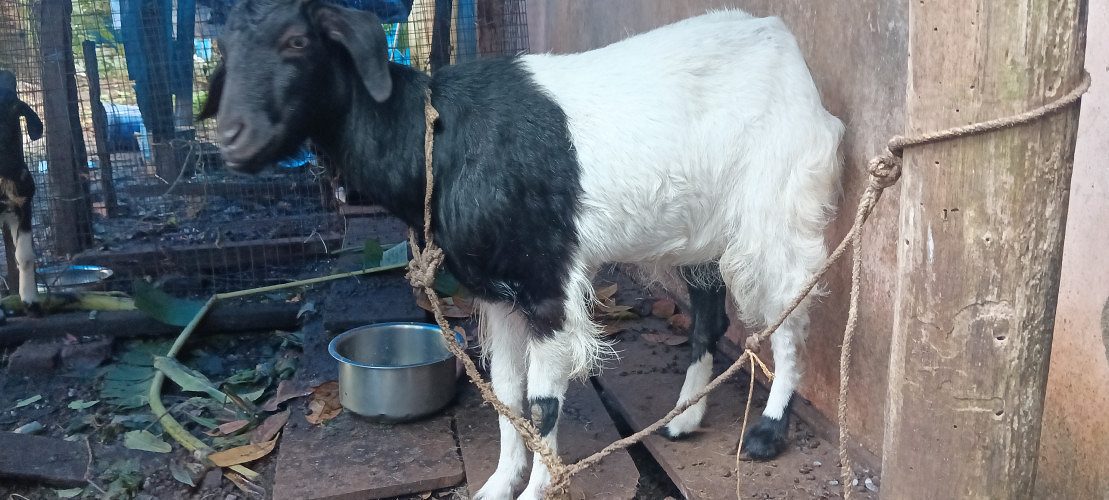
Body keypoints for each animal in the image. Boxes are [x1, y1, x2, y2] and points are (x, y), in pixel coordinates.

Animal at [199, 1, 844, 498]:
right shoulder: (497, 292)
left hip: (780, 209)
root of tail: (780, 39)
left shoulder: (546, 284)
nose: (232, 138)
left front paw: (538, 488)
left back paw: (767, 431)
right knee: (709, 317)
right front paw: (497, 485)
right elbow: (505, 396)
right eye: (224, 47)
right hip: (701, 229)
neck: (439, 137)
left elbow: (541, 404)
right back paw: (683, 419)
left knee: (791, 316)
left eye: (297, 41)